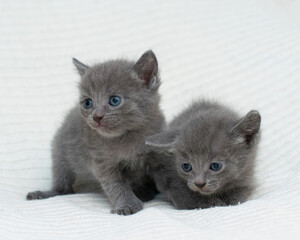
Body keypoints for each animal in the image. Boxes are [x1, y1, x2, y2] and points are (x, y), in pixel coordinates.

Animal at [26, 49, 165, 215]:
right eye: (88, 103)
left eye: (115, 100)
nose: (96, 116)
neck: (128, 137)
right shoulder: (101, 160)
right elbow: (116, 184)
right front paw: (127, 205)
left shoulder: (156, 154)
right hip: (61, 152)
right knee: (63, 187)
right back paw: (44, 193)